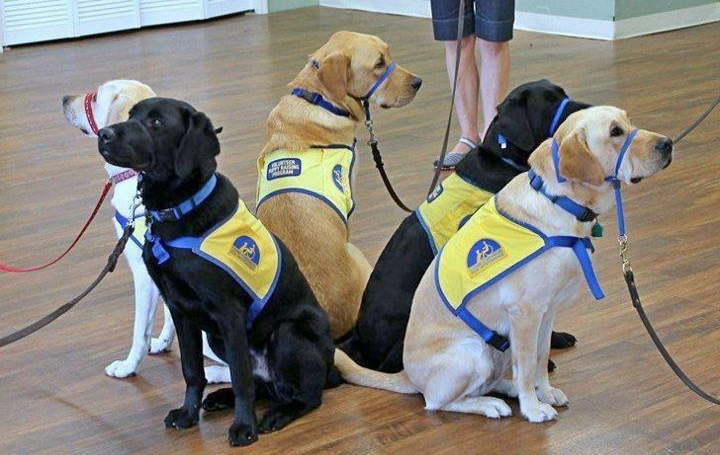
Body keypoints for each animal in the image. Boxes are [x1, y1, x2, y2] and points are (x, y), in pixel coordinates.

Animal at [96, 98, 340, 448]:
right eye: (131, 115)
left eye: (156, 122)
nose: (103, 134)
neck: (178, 211)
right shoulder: (181, 311)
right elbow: (192, 371)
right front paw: (187, 414)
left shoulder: (229, 313)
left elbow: (240, 377)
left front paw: (244, 428)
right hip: (214, 336)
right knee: (264, 384)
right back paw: (219, 399)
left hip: (287, 332)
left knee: (306, 395)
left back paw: (277, 414)